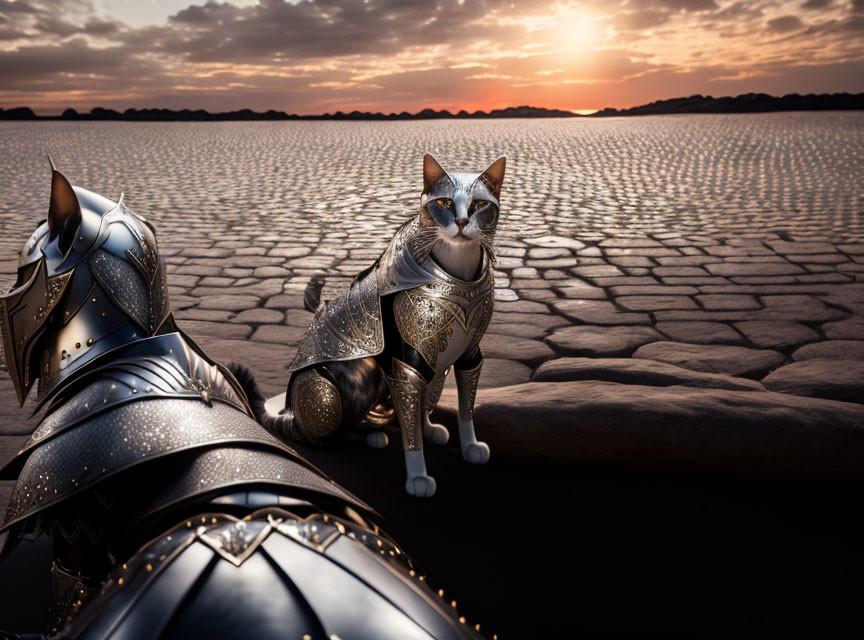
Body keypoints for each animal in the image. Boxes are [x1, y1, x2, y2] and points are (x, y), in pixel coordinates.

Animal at [255, 152, 506, 498]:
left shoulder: (467, 356)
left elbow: (457, 407)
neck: (458, 275)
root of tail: (288, 407)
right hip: (331, 386)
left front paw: (464, 445)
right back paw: (365, 437)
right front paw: (418, 478)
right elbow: (412, 425)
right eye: (444, 203)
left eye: (480, 205)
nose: (461, 223)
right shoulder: (406, 361)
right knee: (318, 432)